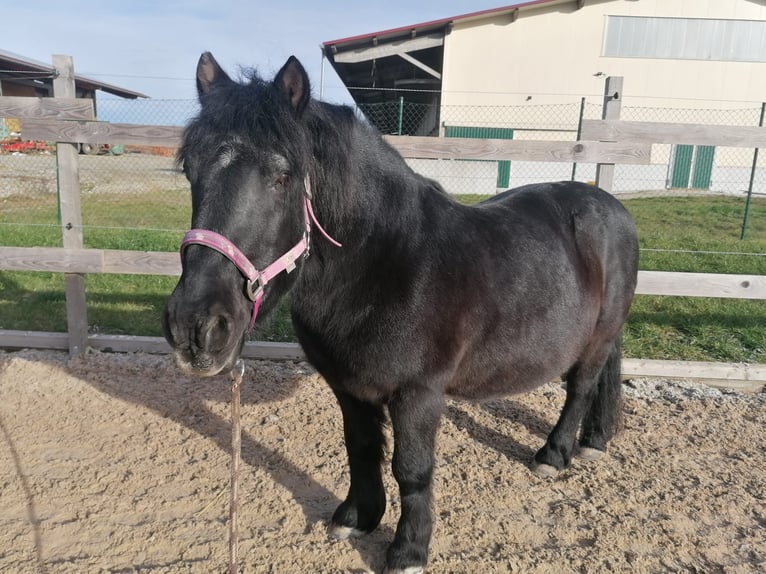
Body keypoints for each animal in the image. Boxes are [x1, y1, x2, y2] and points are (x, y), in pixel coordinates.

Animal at [166, 54, 640, 574]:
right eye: (190, 171)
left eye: (282, 176)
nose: (196, 326)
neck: (387, 264)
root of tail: (611, 206)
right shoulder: (349, 387)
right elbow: (362, 449)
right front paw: (358, 517)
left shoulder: (418, 394)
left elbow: (411, 469)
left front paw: (409, 549)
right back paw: (593, 440)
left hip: (598, 338)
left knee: (580, 387)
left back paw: (554, 454)